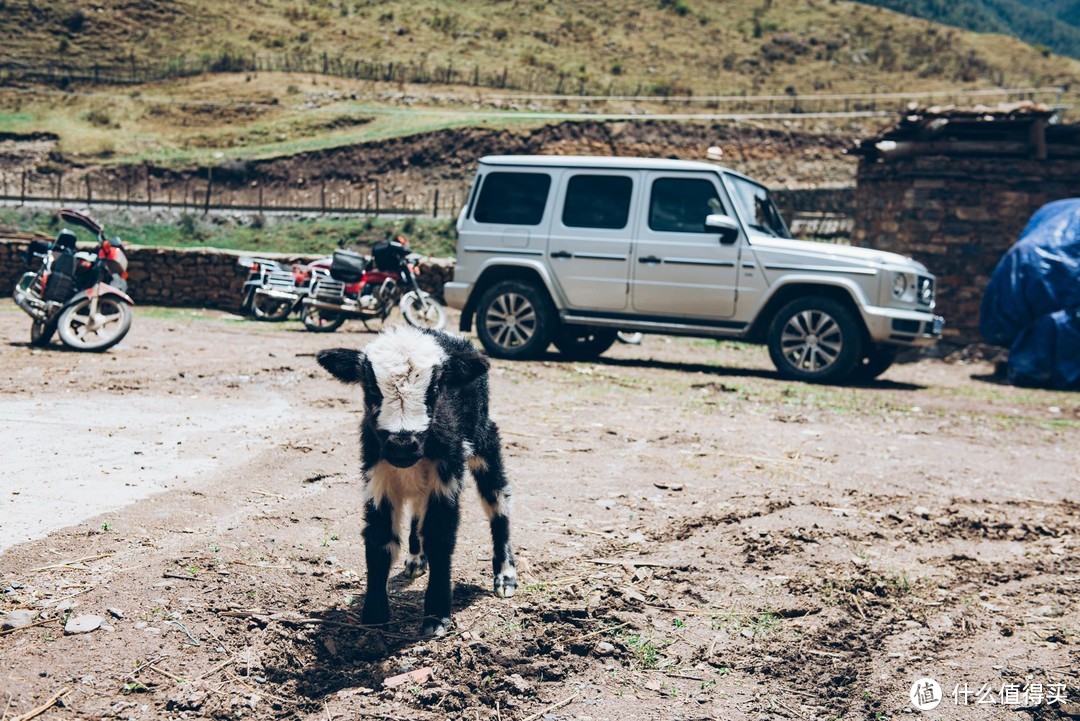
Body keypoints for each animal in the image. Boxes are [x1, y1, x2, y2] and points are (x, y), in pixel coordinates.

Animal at [315, 325, 518, 634]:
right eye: (371, 389)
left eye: (434, 390)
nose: (402, 445)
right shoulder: (377, 475)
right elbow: (379, 539)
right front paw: (374, 614)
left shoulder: (447, 473)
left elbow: (440, 536)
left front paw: (436, 616)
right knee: (417, 510)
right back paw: (415, 559)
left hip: (484, 435)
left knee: (497, 499)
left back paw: (505, 575)